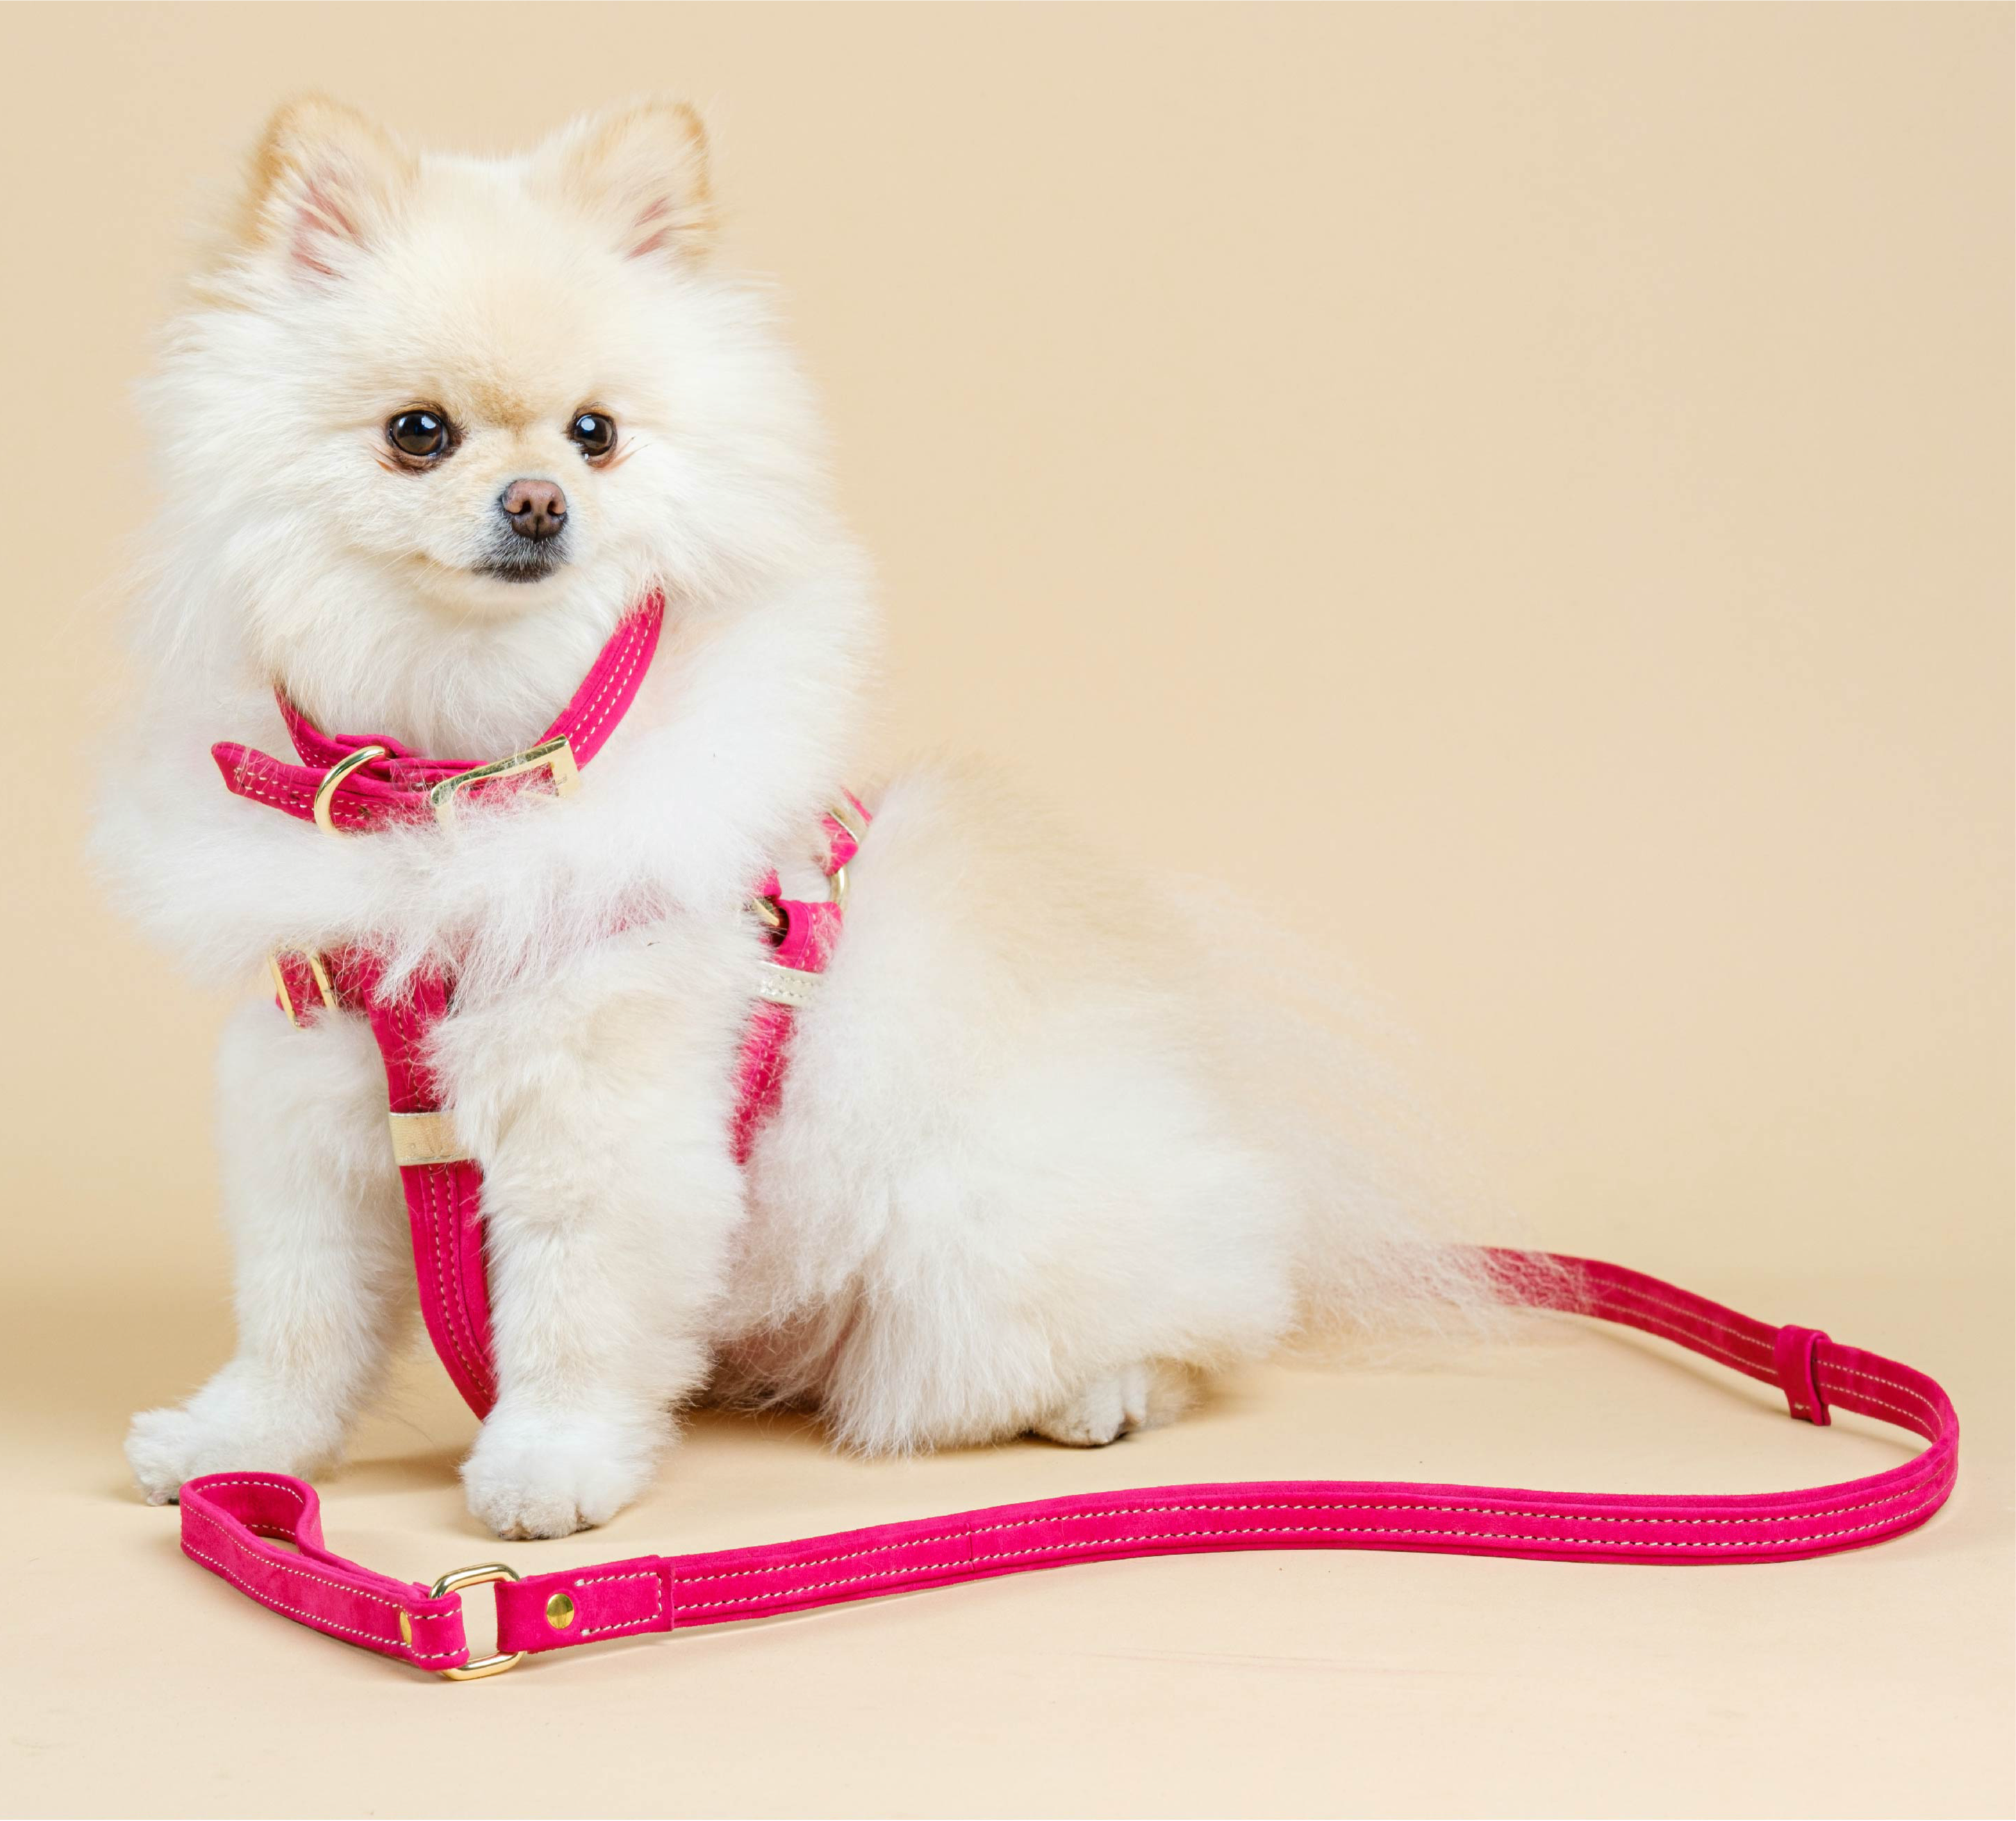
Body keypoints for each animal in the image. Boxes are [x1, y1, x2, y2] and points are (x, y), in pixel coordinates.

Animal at [106, 99, 1483, 1538]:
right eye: (417, 432)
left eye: (594, 433)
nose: (539, 503)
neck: (457, 770)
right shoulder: (316, 1097)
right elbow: (298, 1315)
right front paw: (236, 1445)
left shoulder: (604, 1112)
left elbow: (572, 1319)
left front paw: (551, 1463)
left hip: (976, 1242)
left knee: (1185, 1323)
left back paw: (1103, 1391)